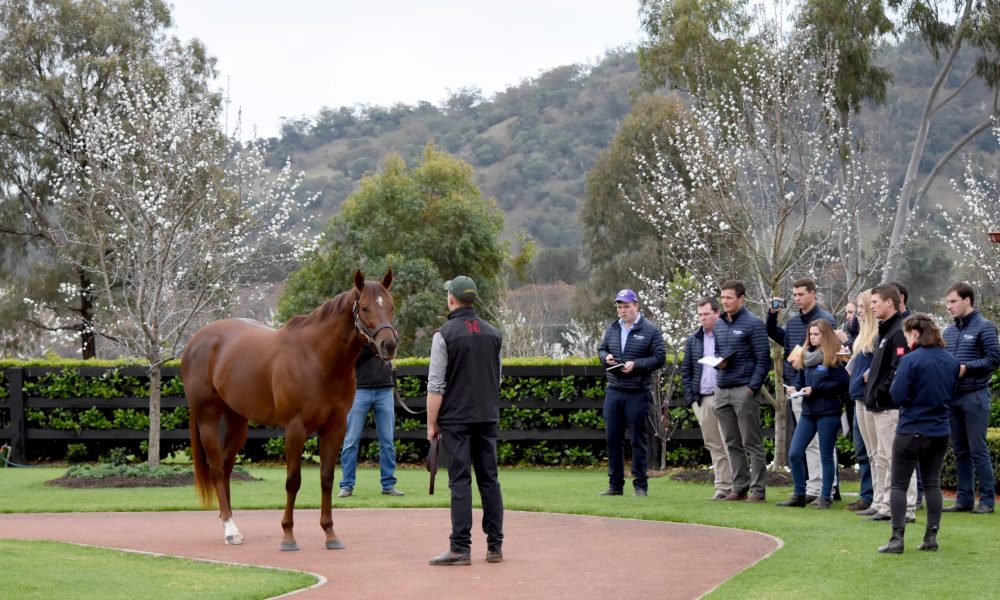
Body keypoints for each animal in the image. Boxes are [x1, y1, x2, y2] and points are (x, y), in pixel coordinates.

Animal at [181, 269, 397, 551]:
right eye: (365, 308)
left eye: (391, 306)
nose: (389, 345)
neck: (317, 358)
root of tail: (195, 342)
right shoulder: (295, 428)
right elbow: (293, 481)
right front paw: (288, 535)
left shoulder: (335, 427)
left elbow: (327, 478)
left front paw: (330, 533)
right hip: (208, 418)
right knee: (217, 469)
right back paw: (230, 529)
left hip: (237, 421)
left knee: (227, 467)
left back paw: (230, 523)